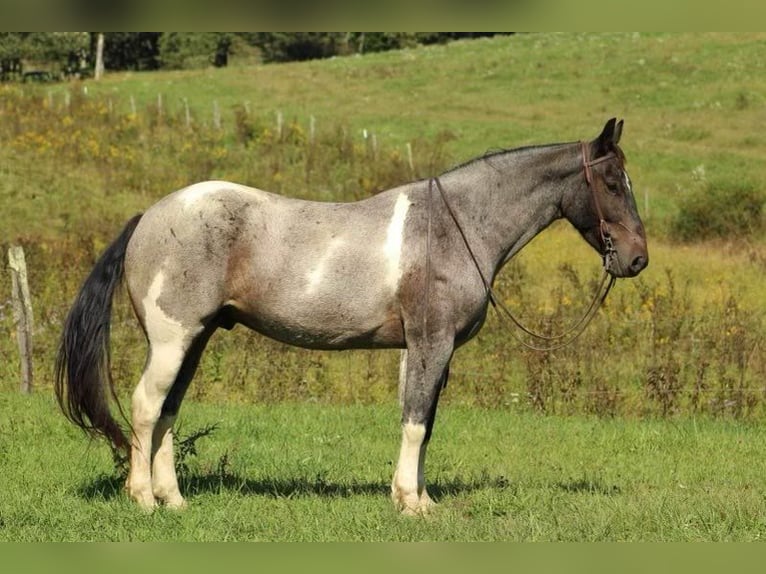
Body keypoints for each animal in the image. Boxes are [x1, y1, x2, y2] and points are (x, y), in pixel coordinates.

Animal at [57, 118, 652, 516]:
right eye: (613, 183)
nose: (636, 259)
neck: (452, 228)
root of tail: (150, 217)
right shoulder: (432, 343)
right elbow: (416, 422)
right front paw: (411, 504)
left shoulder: (423, 351)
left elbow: (424, 423)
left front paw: (419, 498)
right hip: (172, 339)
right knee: (145, 406)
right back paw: (143, 499)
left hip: (196, 340)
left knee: (168, 411)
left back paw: (174, 499)